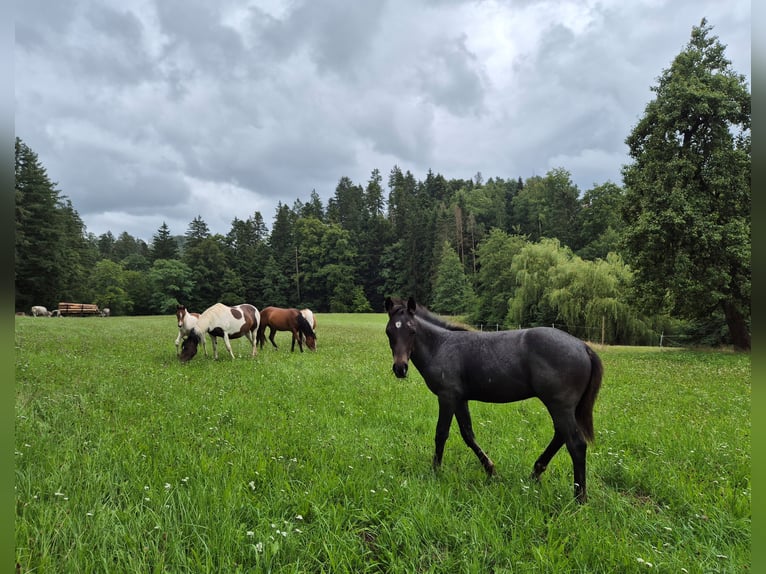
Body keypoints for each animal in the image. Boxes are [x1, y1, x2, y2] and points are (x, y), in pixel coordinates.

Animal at [384, 297, 603, 503]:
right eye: (389, 332)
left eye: (412, 330)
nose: (400, 368)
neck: (440, 346)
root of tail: (583, 346)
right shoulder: (460, 399)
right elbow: (468, 434)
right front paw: (491, 471)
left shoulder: (447, 396)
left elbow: (441, 434)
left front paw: (435, 472)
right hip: (563, 407)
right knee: (561, 435)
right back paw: (535, 473)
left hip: (560, 405)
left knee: (575, 444)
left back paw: (579, 498)